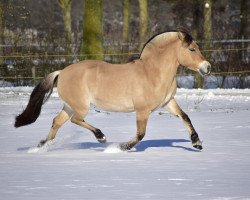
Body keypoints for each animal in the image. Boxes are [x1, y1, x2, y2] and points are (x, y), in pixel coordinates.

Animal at [14, 29, 211, 151]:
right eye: (192, 49)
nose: (207, 67)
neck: (153, 72)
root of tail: (61, 72)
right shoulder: (142, 110)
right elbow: (141, 134)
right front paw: (122, 147)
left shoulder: (168, 103)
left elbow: (185, 117)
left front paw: (197, 143)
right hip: (81, 106)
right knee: (76, 120)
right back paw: (101, 136)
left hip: (69, 105)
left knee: (57, 121)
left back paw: (41, 145)